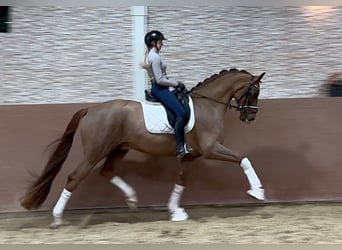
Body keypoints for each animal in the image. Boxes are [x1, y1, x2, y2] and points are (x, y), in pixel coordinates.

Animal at [20, 68, 268, 227]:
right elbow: (243, 158)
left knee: (107, 171)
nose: (250, 117)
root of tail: (91, 109)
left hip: (119, 148)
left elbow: (180, 180)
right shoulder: (211, 149)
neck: (207, 105)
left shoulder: (191, 156)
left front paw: (176, 212)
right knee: (74, 177)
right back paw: (57, 218)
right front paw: (257, 192)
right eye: (254, 92)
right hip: (95, 152)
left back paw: (131, 199)